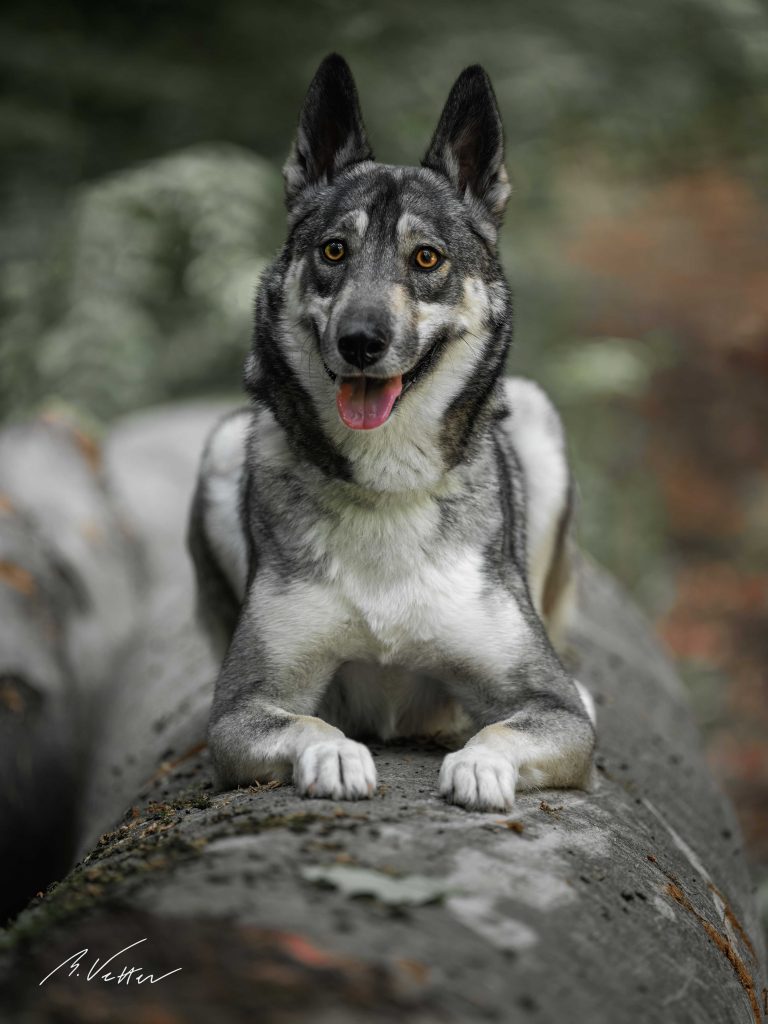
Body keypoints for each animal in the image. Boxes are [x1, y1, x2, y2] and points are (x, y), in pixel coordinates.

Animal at [186, 56, 593, 811]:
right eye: (333, 251)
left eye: (427, 258)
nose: (360, 341)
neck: (387, 481)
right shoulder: (243, 707)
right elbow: (306, 721)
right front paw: (335, 756)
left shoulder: (553, 709)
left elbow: (512, 725)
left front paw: (478, 766)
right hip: (224, 445)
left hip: (538, 419)